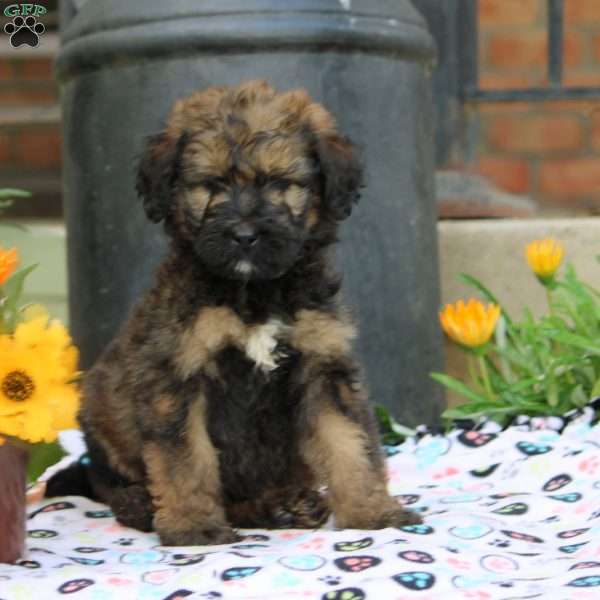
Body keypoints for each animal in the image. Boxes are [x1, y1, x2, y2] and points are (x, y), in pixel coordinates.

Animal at [47, 81, 420, 548]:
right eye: (211, 183)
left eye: (280, 183)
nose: (244, 236)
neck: (255, 294)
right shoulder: (180, 374)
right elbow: (186, 459)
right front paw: (193, 526)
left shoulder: (322, 366)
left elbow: (350, 443)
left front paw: (372, 511)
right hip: (101, 412)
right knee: (109, 481)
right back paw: (142, 504)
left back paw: (283, 505)